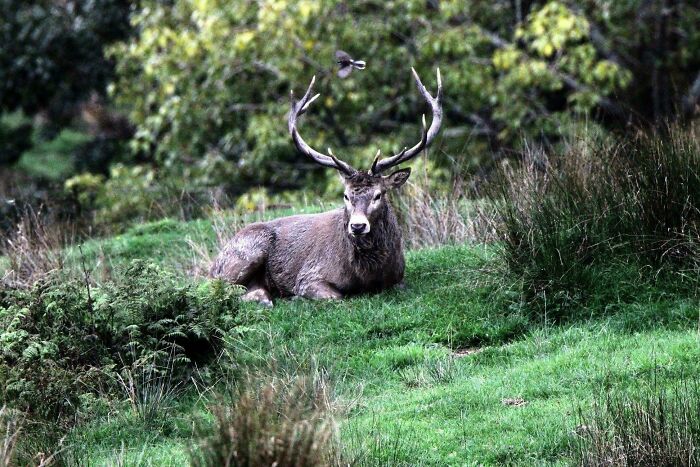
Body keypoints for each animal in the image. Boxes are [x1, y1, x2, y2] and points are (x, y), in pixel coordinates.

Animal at [210, 68, 443, 307]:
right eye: (346, 196)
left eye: (378, 195)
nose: (357, 226)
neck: (367, 276)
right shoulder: (309, 275)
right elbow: (335, 296)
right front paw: (297, 296)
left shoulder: (399, 278)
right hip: (247, 250)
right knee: (220, 288)